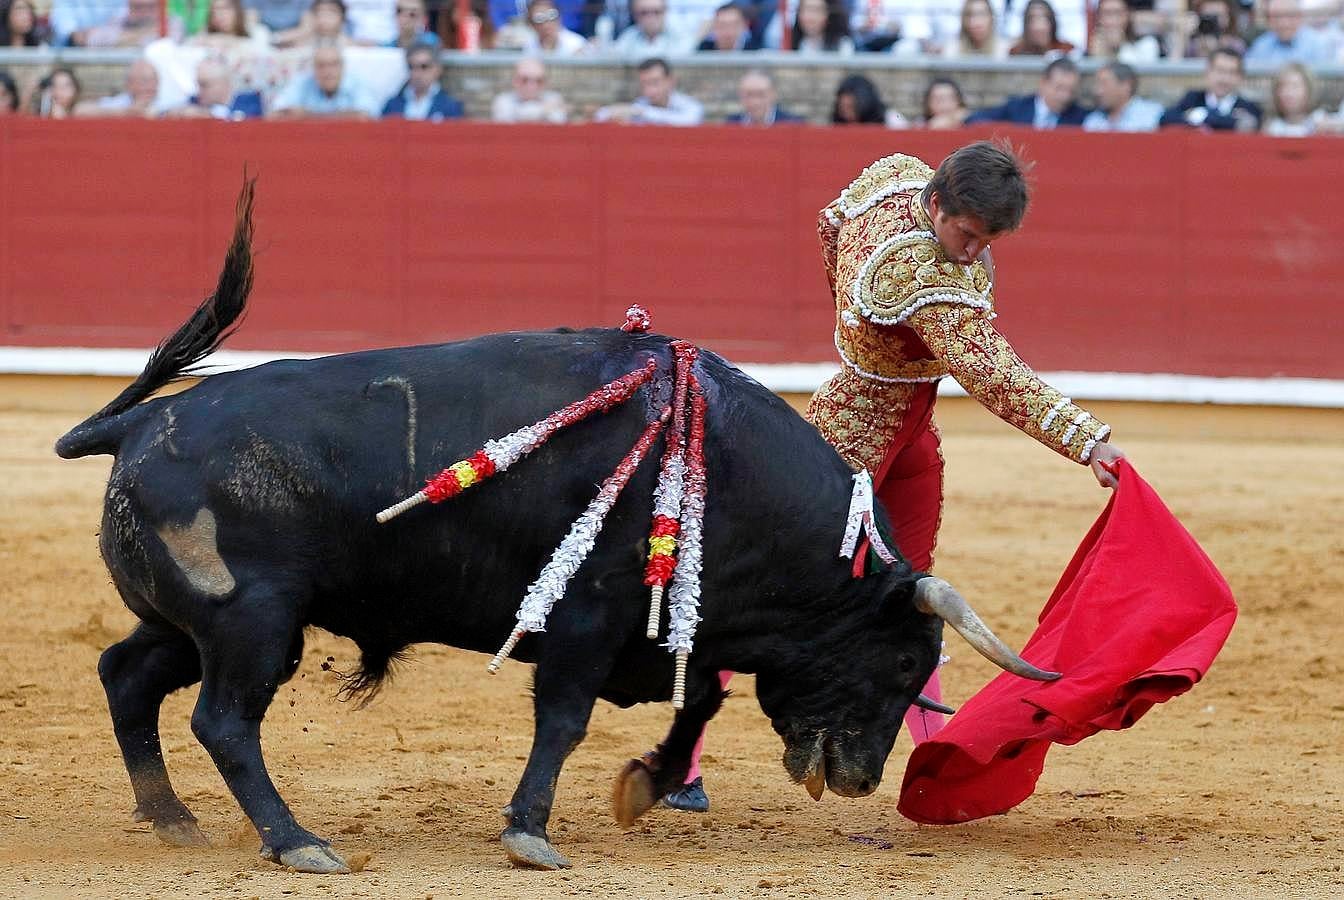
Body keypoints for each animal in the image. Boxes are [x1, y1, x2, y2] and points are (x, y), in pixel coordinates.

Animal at [57, 180, 1053, 875]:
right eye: (901, 659)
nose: (858, 778)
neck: (729, 467)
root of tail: (137, 427)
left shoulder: (663, 626)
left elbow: (701, 696)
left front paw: (644, 787)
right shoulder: (587, 617)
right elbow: (566, 720)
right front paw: (531, 833)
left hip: (199, 620)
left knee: (126, 674)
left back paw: (174, 819)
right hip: (254, 622)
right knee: (224, 721)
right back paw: (298, 841)